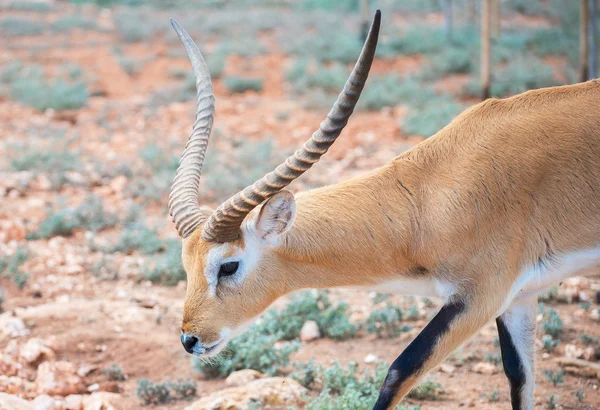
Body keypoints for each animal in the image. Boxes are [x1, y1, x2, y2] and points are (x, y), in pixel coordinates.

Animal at [168, 11, 600, 408]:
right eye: (186, 265)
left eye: (228, 266)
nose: (190, 339)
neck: (427, 198)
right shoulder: (518, 298)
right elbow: (519, 378)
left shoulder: (480, 296)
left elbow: (398, 371)